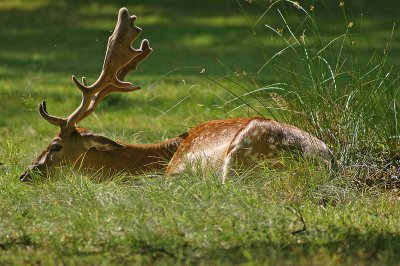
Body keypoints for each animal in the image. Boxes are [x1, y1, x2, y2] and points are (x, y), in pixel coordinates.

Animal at [19, 7, 338, 183]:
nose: (25, 174)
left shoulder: (174, 171)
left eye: (55, 146)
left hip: (242, 152)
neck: (161, 154)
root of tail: (327, 163)